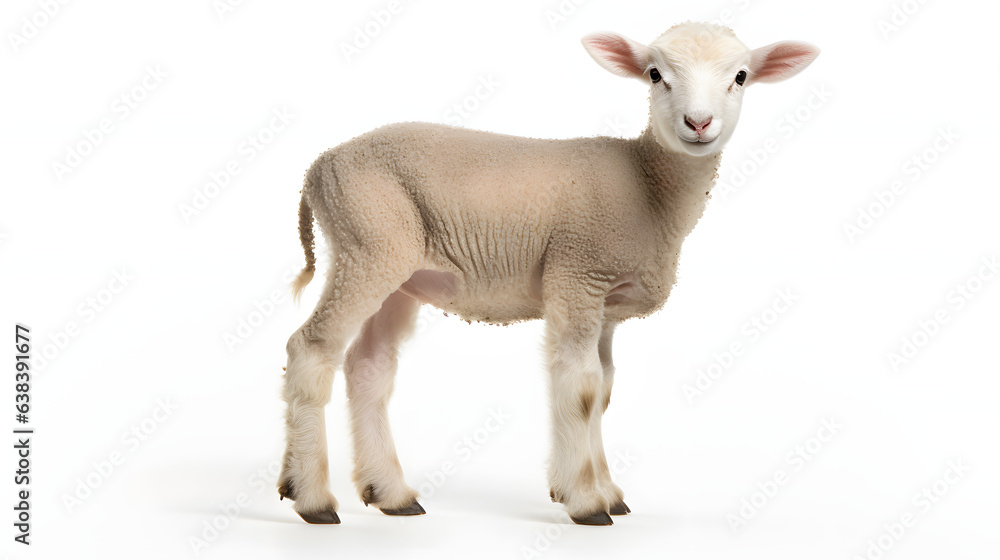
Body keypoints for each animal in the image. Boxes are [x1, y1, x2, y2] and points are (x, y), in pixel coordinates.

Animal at [277, 21, 819, 526]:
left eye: (741, 76)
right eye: (655, 74)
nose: (699, 122)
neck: (649, 184)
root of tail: (319, 166)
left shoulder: (606, 305)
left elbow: (603, 389)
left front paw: (607, 491)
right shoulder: (577, 274)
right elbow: (580, 387)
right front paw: (585, 501)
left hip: (397, 270)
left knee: (368, 366)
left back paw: (391, 493)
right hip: (368, 244)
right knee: (312, 347)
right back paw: (311, 497)